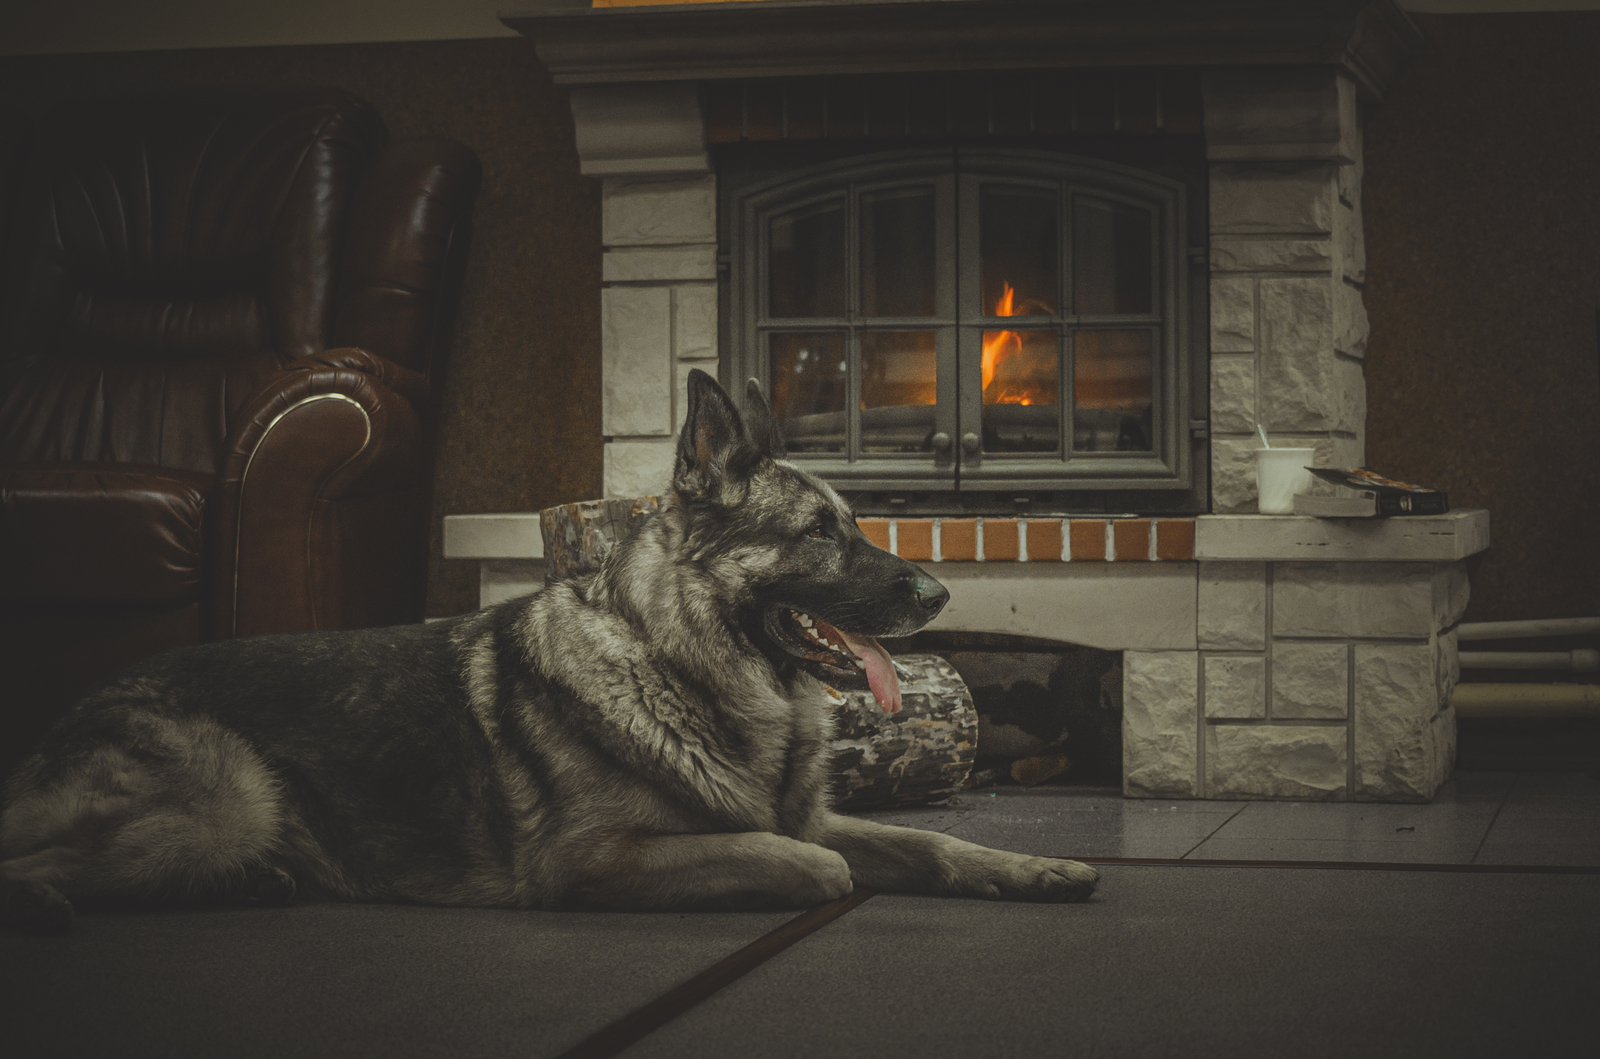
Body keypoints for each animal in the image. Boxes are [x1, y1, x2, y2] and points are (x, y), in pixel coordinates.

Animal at [0, 369, 1100, 934]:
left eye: (859, 525)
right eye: (822, 534)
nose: (940, 592)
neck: (677, 664)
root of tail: (79, 706)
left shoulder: (819, 812)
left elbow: (933, 845)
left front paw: (1031, 868)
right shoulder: (594, 860)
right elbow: (815, 864)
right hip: (223, 804)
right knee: (40, 859)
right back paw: (53, 898)